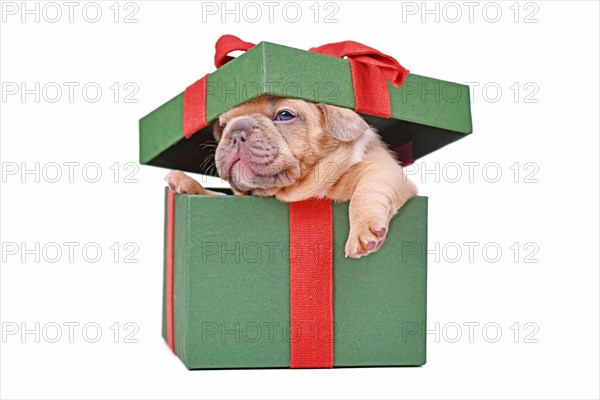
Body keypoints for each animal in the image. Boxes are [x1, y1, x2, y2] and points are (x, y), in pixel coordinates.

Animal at [165, 96, 418, 260]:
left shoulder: (382, 169)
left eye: (285, 115)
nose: (235, 132)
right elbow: (218, 194)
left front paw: (363, 231)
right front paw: (188, 183)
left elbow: (367, 191)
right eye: (224, 125)